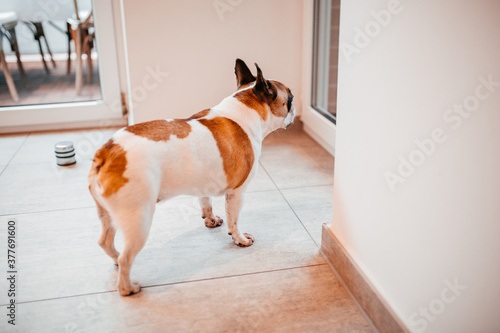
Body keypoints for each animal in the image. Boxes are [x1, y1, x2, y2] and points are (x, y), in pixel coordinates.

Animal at [88, 58, 294, 294]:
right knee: (126, 258)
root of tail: (108, 152)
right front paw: (240, 239)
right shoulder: (237, 192)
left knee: (106, 242)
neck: (245, 109)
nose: (294, 106)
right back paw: (128, 287)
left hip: (107, 213)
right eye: (290, 99)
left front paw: (211, 220)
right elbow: (234, 220)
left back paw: (114, 259)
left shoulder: (204, 185)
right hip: (139, 219)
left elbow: (206, 203)